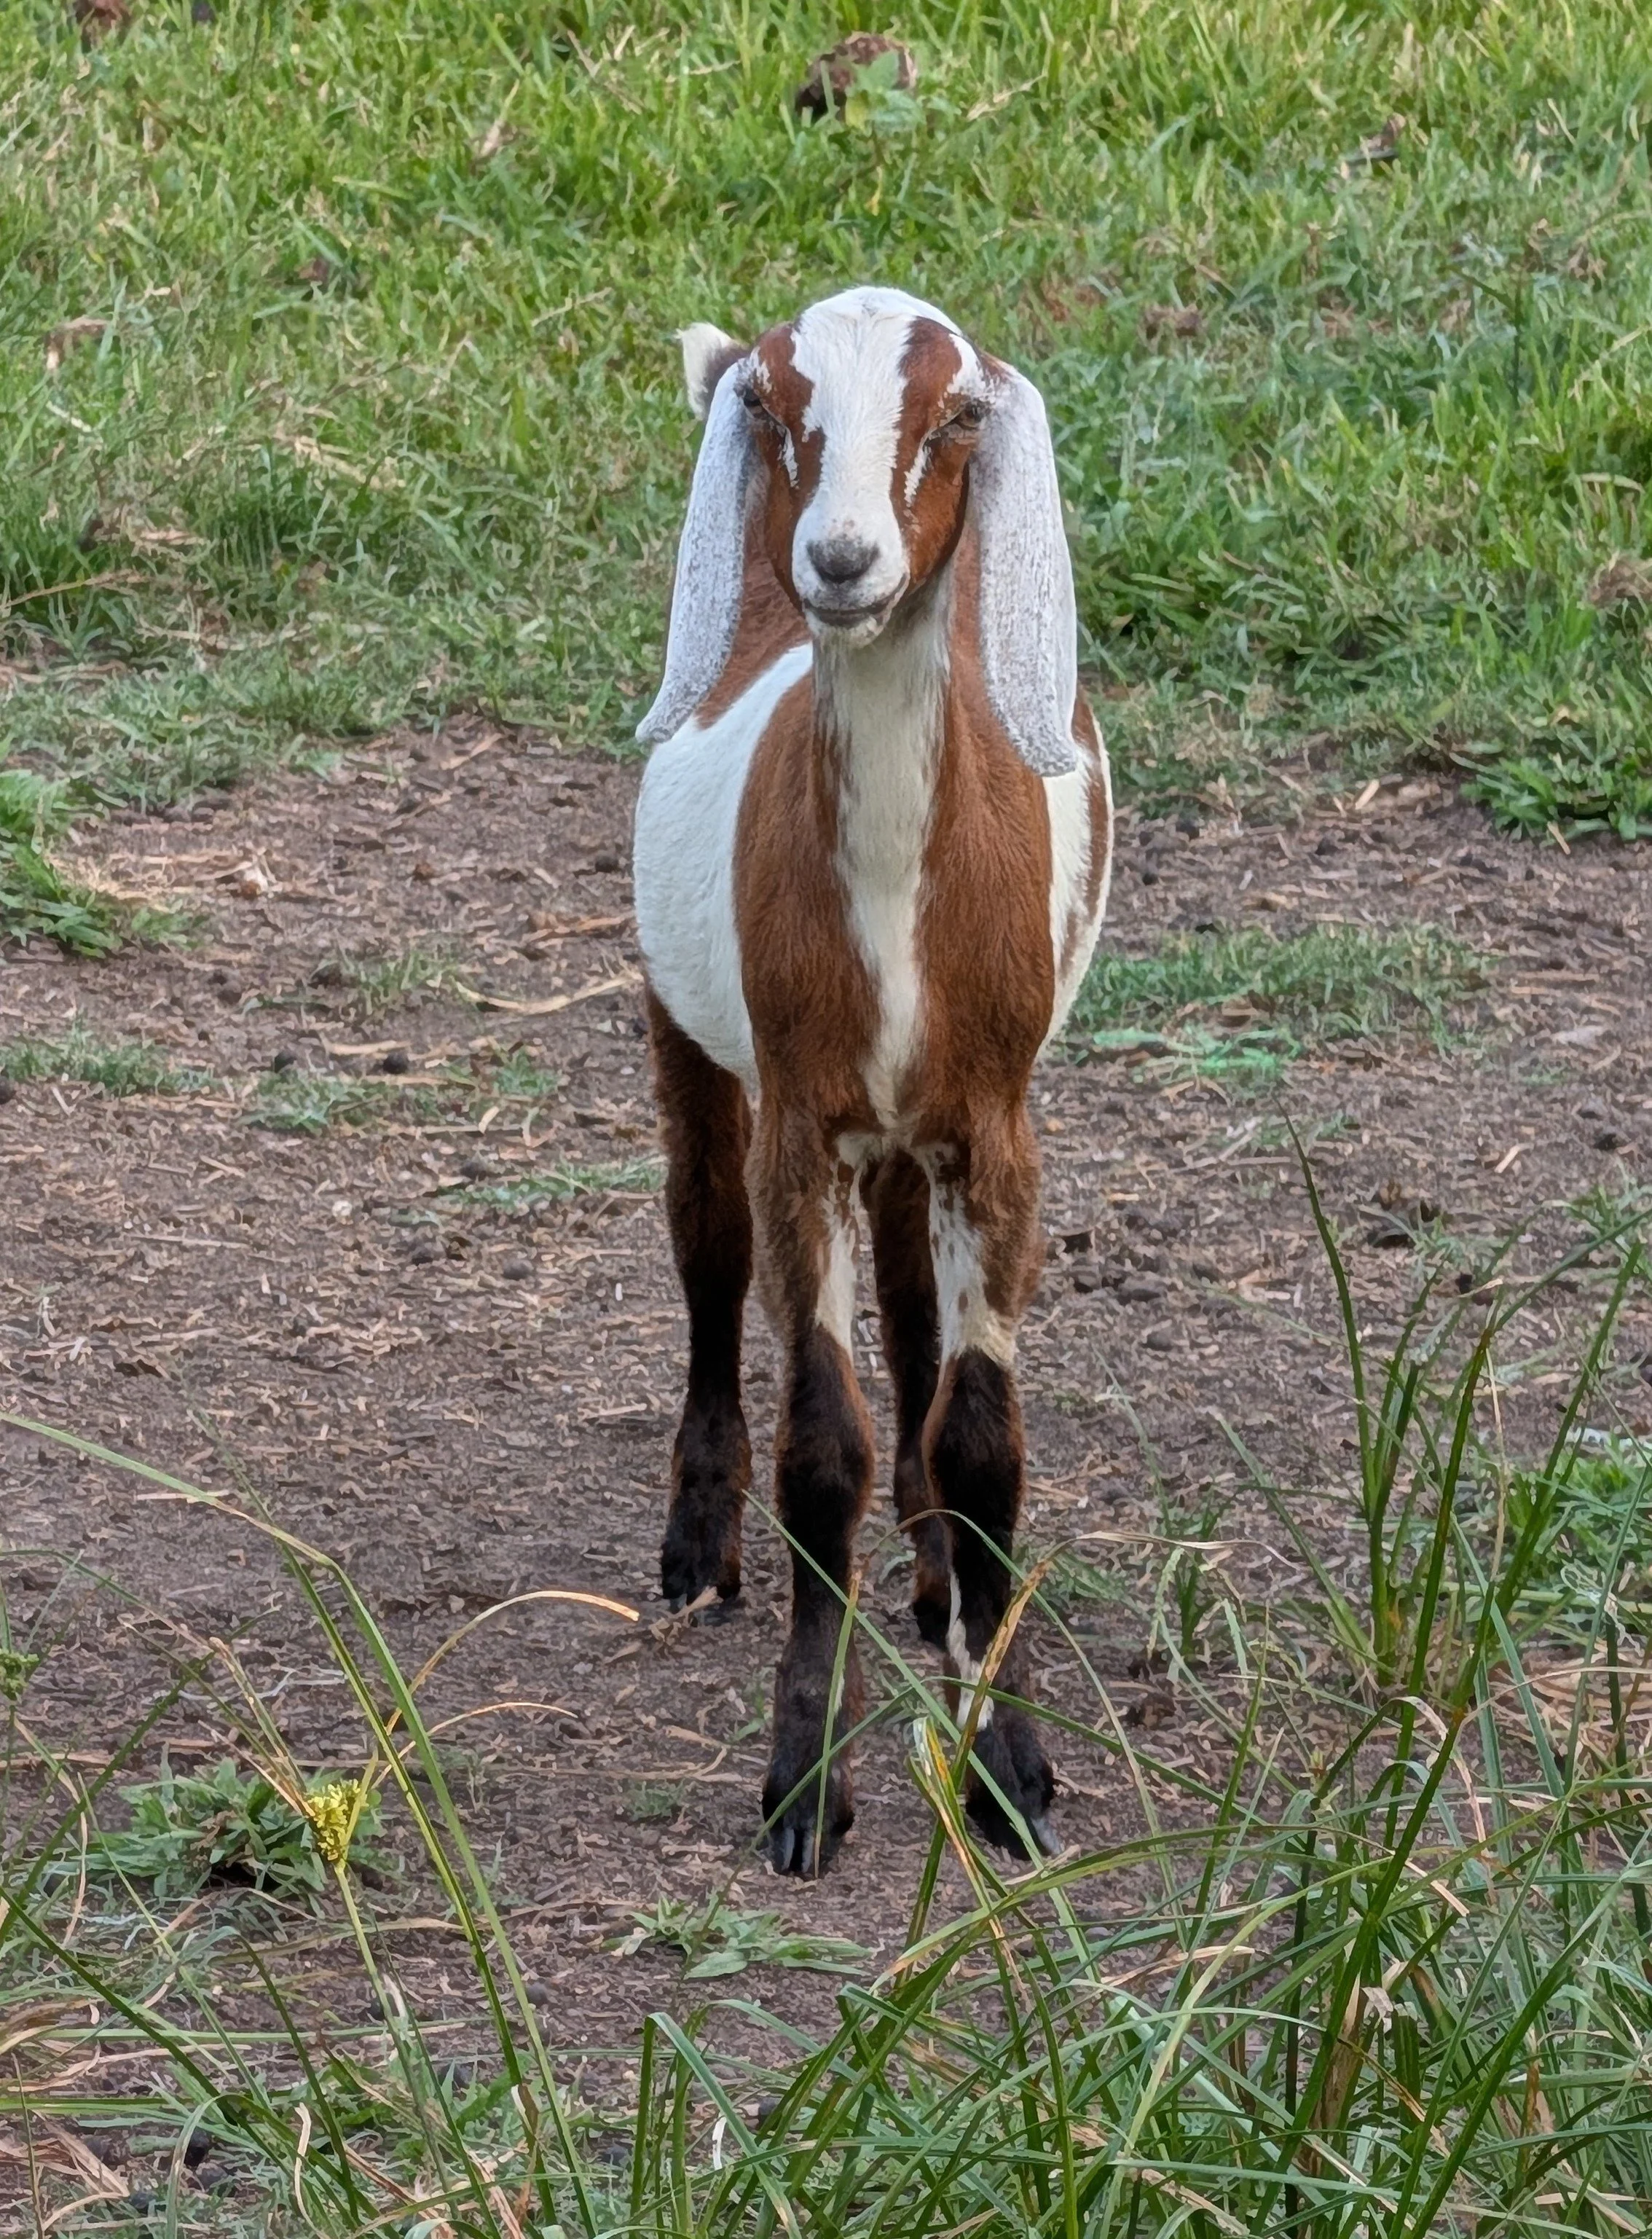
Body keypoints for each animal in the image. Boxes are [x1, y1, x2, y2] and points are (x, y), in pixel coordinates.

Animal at [632, 286, 1113, 1874]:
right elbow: (821, 1450)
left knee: (910, 1310)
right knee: (706, 1249)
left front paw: (1011, 1765)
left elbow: (981, 1443)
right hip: (686, 1024)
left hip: (919, 1137)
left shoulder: (993, 1132)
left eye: (955, 415)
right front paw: (804, 1784)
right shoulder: (804, 1123)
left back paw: (930, 1581)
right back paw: (699, 1544)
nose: (840, 560)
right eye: (777, 410)